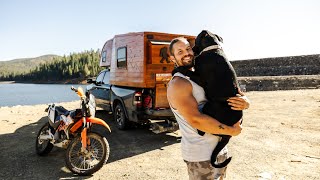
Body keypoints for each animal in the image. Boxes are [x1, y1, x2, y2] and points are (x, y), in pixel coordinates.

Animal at [172, 29, 242, 169]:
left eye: (195, 41)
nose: (192, 49)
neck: (212, 48)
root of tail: (228, 135)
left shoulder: (200, 79)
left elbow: (187, 71)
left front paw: (176, 69)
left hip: (209, 106)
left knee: (205, 131)